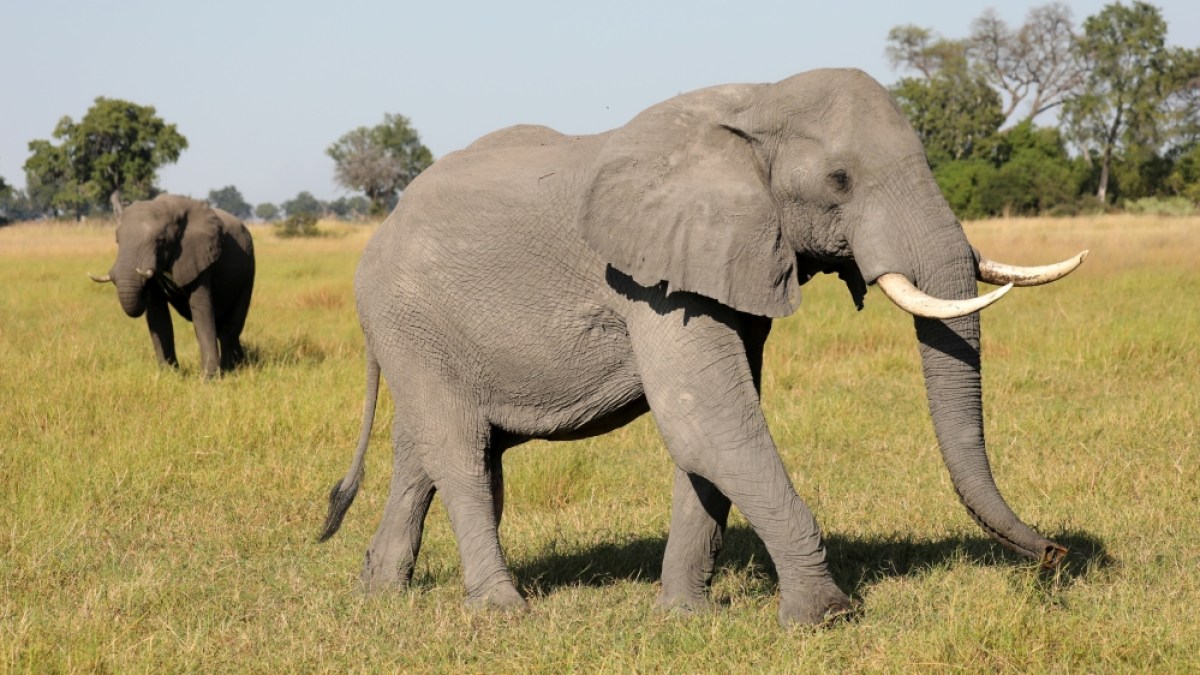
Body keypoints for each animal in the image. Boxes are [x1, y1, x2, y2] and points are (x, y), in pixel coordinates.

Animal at [90, 194, 255, 379]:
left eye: (161, 241)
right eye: (117, 241)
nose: (142, 288)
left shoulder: (201, 255)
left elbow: (202, 311)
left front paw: (209, 379)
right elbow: (158, 315)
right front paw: (168, 375)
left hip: (249, 268)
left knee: (231, 327)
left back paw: (231, 369)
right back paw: (240, 364)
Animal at [318, 68, 1086, 626]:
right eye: (839, 181)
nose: (1056, 554)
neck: (758, 102)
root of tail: (381, 229)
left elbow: (713, 435)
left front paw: (683, 618)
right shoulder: (650, 278)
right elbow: (708, 422)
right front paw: (824, 618)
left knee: (430, 449)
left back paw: (379, 594)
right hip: (407, 316)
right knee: (460, 451)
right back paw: (504, 613)